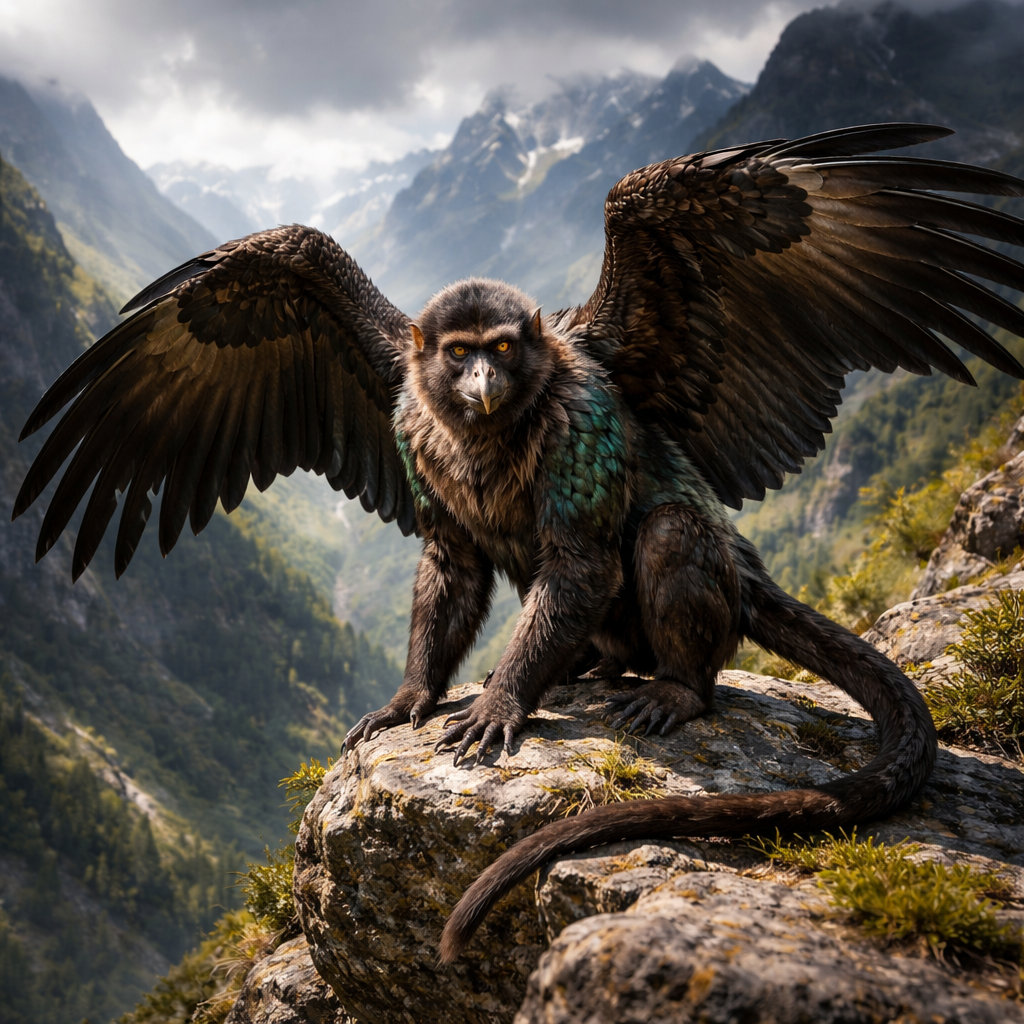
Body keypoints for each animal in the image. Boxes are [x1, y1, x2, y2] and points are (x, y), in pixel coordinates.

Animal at [13, 123, 1024, 962]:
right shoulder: (408, 424)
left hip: (702, 564)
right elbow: (448, 562)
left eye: (502, 346)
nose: (485, 383)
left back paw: (673, 686)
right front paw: (416, 694)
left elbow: (578, 557)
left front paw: (500, 699)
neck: (490, 431)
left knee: (667, 533)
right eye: (459, 352)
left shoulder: (578, 424)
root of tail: (749, 570)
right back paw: (590, 667)